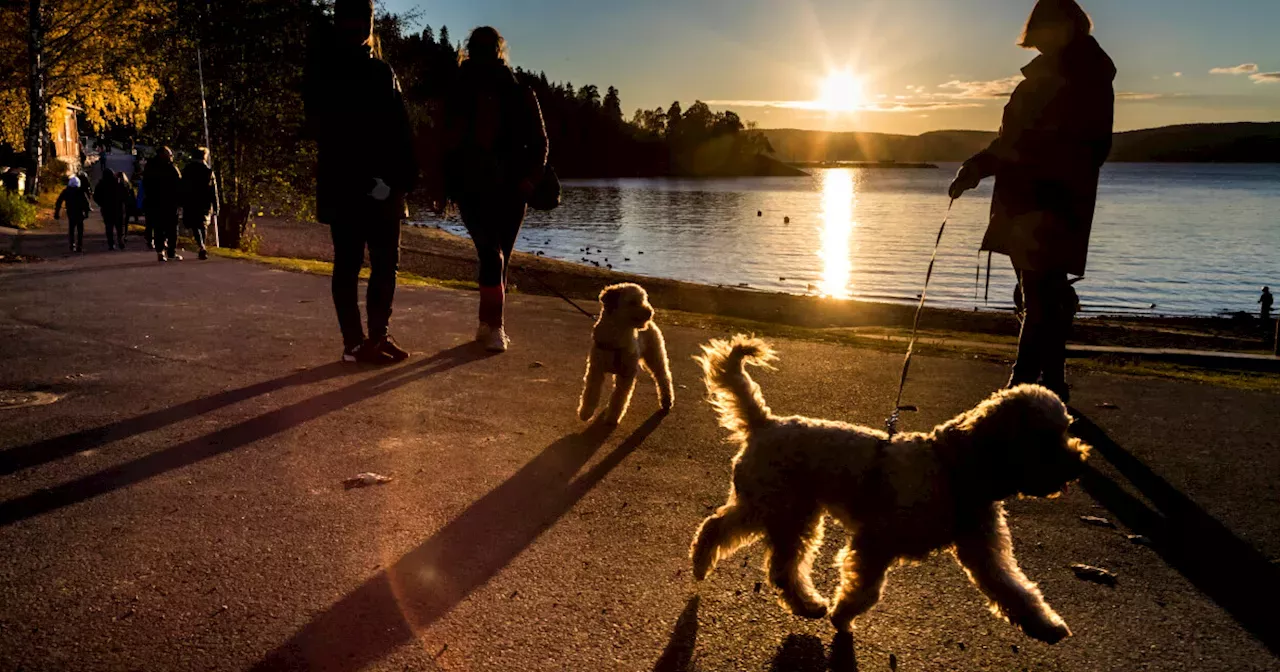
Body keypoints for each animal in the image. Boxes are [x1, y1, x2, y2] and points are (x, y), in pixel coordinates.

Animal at [578, 282, 675, 424]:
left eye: (644, 299)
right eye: (632, 302)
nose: (650, 313)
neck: (616, 337)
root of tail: (651, 323)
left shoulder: (627, 373)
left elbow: (619, 397)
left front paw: (612, 417)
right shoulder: (596, 369)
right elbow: (591, 391)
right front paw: (586, 412)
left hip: (655, 357)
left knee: (663, 377)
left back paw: (667, 401)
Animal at [691, 332, 1090, 642]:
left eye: (1066, 429)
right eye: (1046, 440)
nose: (1080, 462)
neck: (955, 467)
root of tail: (764, 423)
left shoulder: (984, 552)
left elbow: (1016, 589)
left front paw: (1045, 625)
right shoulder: (876, 541)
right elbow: (865, 589)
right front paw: (843, 615)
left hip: (792, 512)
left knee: (772, 560)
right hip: (776, 506)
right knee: (727, 533)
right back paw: (708, 566)